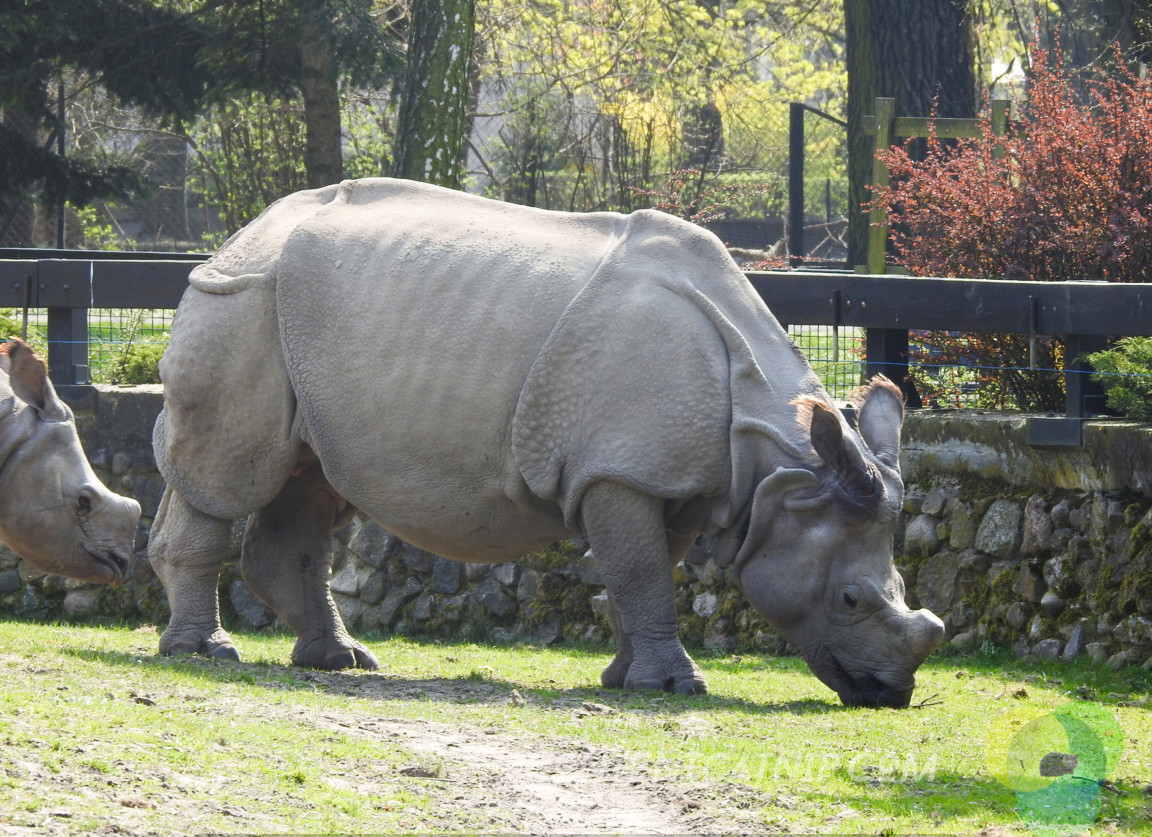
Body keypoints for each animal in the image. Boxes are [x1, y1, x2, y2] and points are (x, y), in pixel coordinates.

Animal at [150, 178, 943, 708]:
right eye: (848, 599)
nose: (892, 692)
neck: (776, 460)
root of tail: (236, 236)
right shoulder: (622, 470)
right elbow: (642, 571)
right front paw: (676, 686)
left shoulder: (669, 476)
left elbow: (641, 573)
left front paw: (627, 679)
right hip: (241, 300)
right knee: (228, 477)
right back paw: (206, 652)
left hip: (296, 330)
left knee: (311, 481)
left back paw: (338, 660)